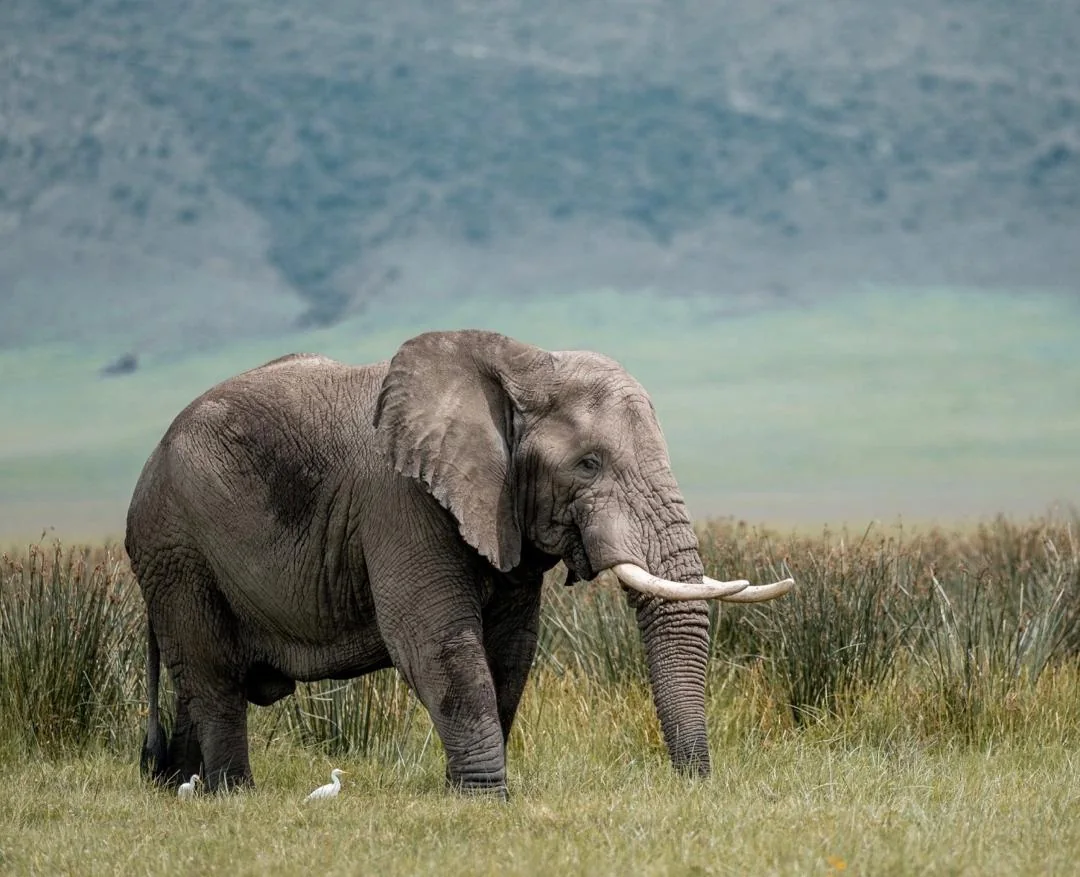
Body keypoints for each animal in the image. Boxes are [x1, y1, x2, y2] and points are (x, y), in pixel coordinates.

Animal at [125, 329, 793, 798]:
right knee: (212, 673)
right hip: (177, 547)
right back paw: (231, 794)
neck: (525, 363)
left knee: (195, 677)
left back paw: (177, 787)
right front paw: (487, 799)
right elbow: (434, 638)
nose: (692, 785)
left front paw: (465, 793)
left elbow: (512, 647)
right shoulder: (397, 499)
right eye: (589, 464)